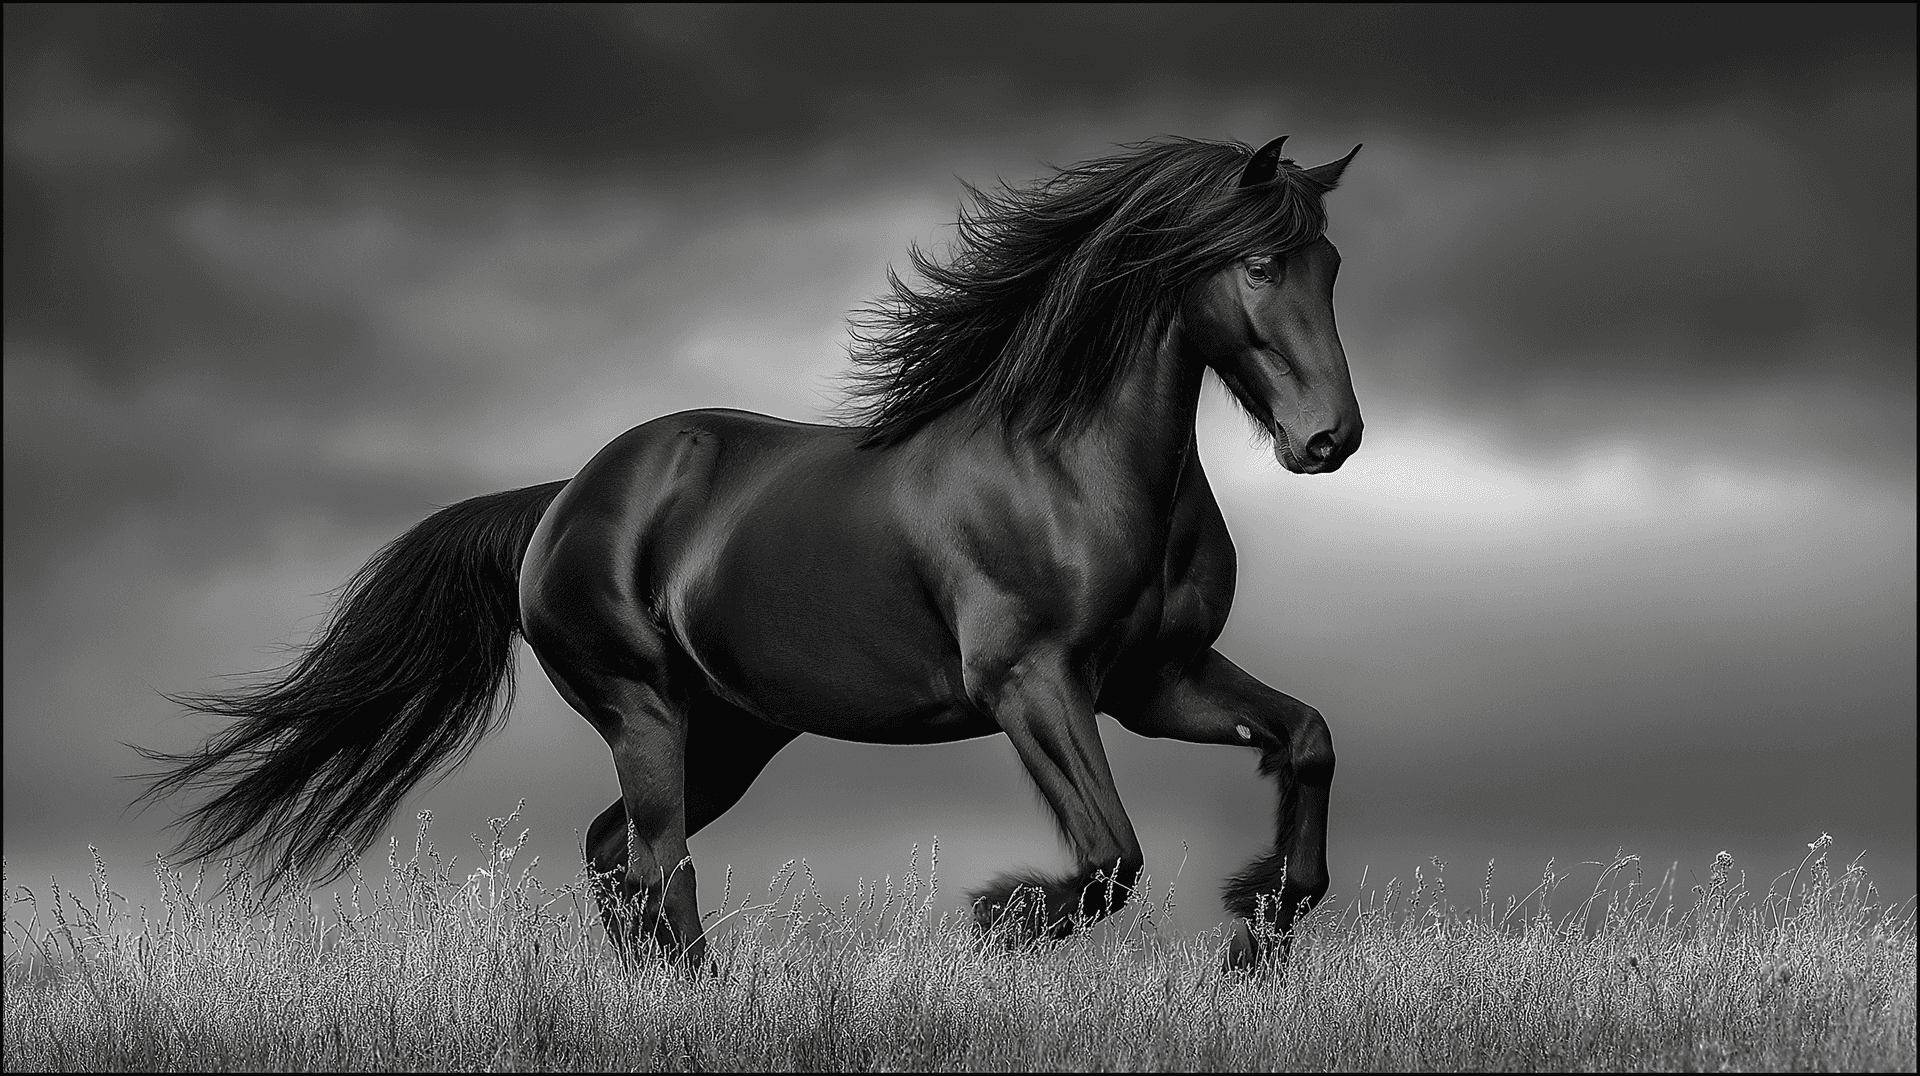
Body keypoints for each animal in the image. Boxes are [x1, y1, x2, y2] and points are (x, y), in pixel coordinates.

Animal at [139, 135, 1364, 968]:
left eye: (1332, 265)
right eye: (1261, 264)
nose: (1330, 440)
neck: (1072, 468)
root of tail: (563, 498)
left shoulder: (1153, 680)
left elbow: (1306, 742)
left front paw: (1257, 928)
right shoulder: (1031, 681)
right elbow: (1111, 856)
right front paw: (999, 917)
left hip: (732, 730)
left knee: (615, 855)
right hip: (644, 708)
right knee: (657, 857)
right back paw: (702, 995)